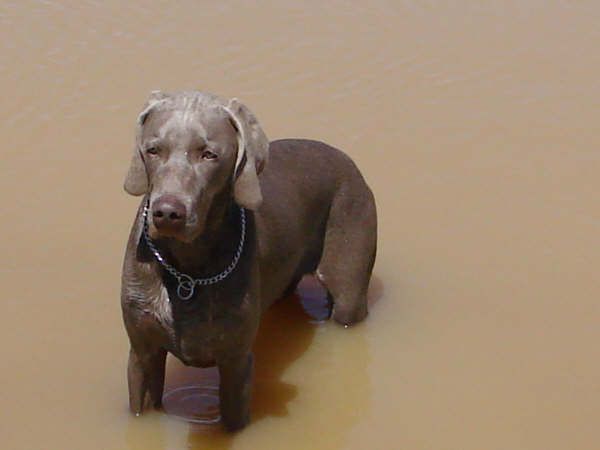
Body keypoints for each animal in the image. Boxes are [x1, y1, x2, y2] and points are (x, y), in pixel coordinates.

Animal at [120, 90, 377, 431]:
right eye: (153, 150)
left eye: (209, 155)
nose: (168, 213)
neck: (187, 271)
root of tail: (347, 160)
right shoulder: (143, 352)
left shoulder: (236, 359)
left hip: (349, 281)